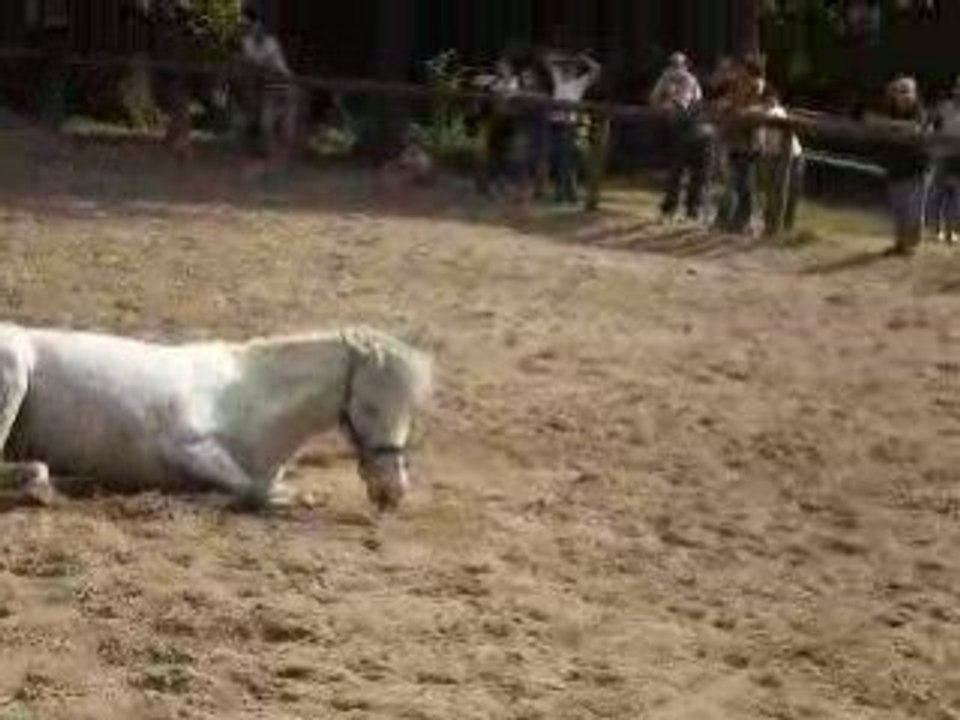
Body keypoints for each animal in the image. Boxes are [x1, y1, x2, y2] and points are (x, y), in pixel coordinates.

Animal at [0, 323, 432, 513]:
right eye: (370, 406)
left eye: (410, 410)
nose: (393, 492)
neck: (247, 400)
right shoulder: (187, 448)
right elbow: (255, 491)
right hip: (13, 377)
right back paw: (42, 486)